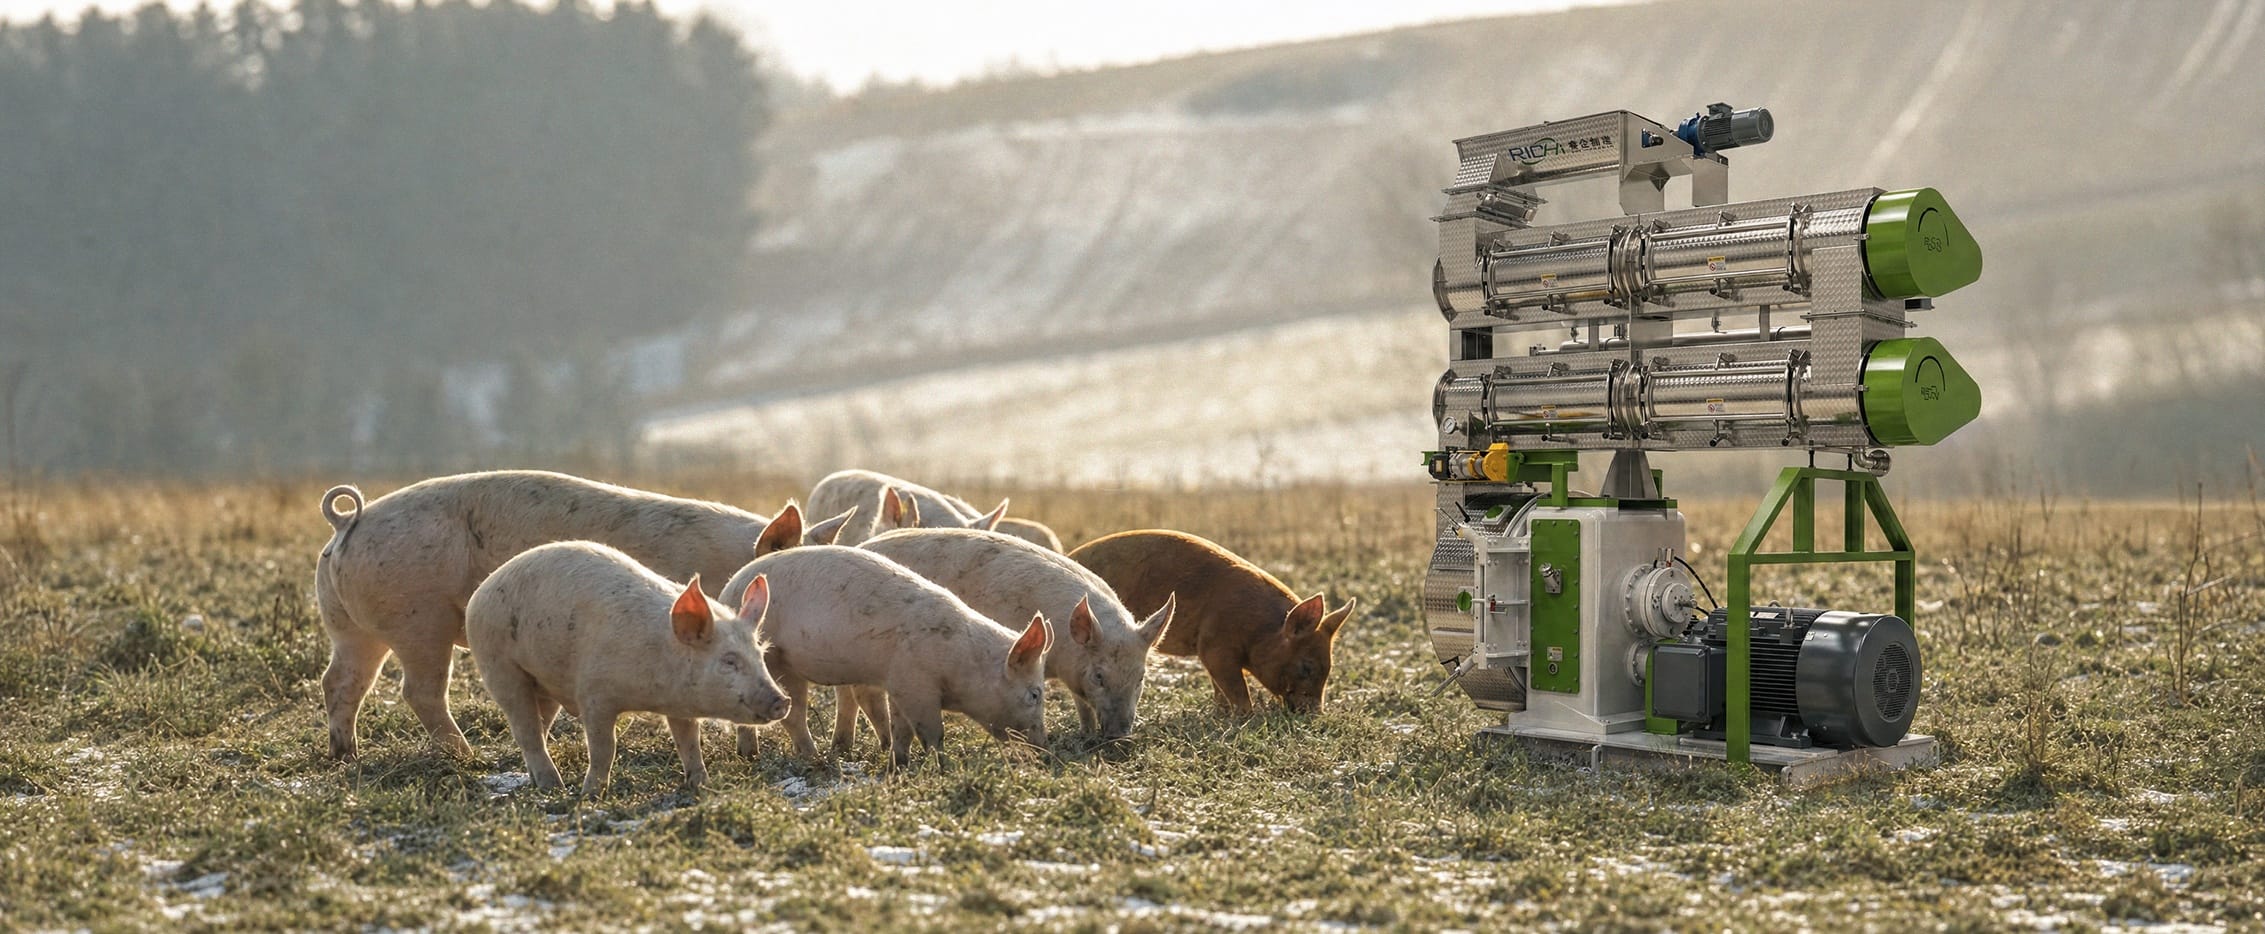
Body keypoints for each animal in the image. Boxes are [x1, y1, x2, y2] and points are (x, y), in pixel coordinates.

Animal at [312, 470, 802, 760]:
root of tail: (346, 524)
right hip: (417, 618)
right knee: (419, 691)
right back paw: (467, 757)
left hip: (349, 626)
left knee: (339, 681)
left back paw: (345, 754)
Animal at [465, 541, 792, 794]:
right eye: (729, 660)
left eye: (760, 654)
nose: (782, 700)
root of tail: (481, 592)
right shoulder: (594, 695)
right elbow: (604, 748)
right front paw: (591, 795)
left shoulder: (679, 707)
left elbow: (689, 742)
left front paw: (702, 785)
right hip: (499, 664)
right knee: (525, 728)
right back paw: (553, 787)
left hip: (542, 682)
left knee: (537, 726)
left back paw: (538, 782)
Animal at [718, 545, 1051, 766]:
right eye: (1035, 694)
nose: (1045, 749)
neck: (964, 661)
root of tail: (729, 591)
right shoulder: (916, 684)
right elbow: (931, 732)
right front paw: (942, 765)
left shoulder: (899, 685)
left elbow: (901, 728)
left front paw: (899, 764)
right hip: (778, 662)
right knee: (794, 716)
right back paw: (814, 759)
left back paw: (750, 756)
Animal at [835, 528, 1173, 748]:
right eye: (1099, 676)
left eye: (1141, 678)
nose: (1119, 735)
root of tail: (863, 543)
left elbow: (1082, 703)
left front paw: (1086, 733)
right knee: (854, 695)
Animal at [1068, 530, 1357, 714]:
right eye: (1307, 667)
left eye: (1329, 668)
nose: (1316, 715)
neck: (1260, 629)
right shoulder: (1215, 647)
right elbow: (1236, 689)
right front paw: (1246, 717)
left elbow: (1220, 689)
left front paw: (1221, 714)